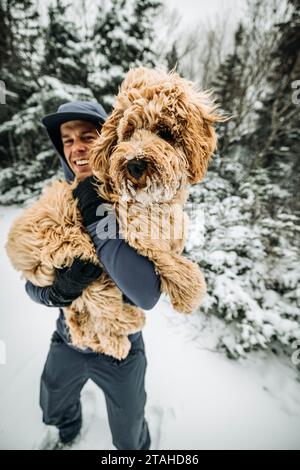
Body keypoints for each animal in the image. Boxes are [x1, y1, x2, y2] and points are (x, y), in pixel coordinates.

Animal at [5, 67, 223, 360]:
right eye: (128, 132)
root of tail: (15, 249)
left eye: (164, 131)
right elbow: (170, 259)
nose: (134, 164)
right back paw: (124, 330)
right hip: (80, 254)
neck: (152, 200)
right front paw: (190, 292)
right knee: (101, 311)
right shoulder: (133, 226)